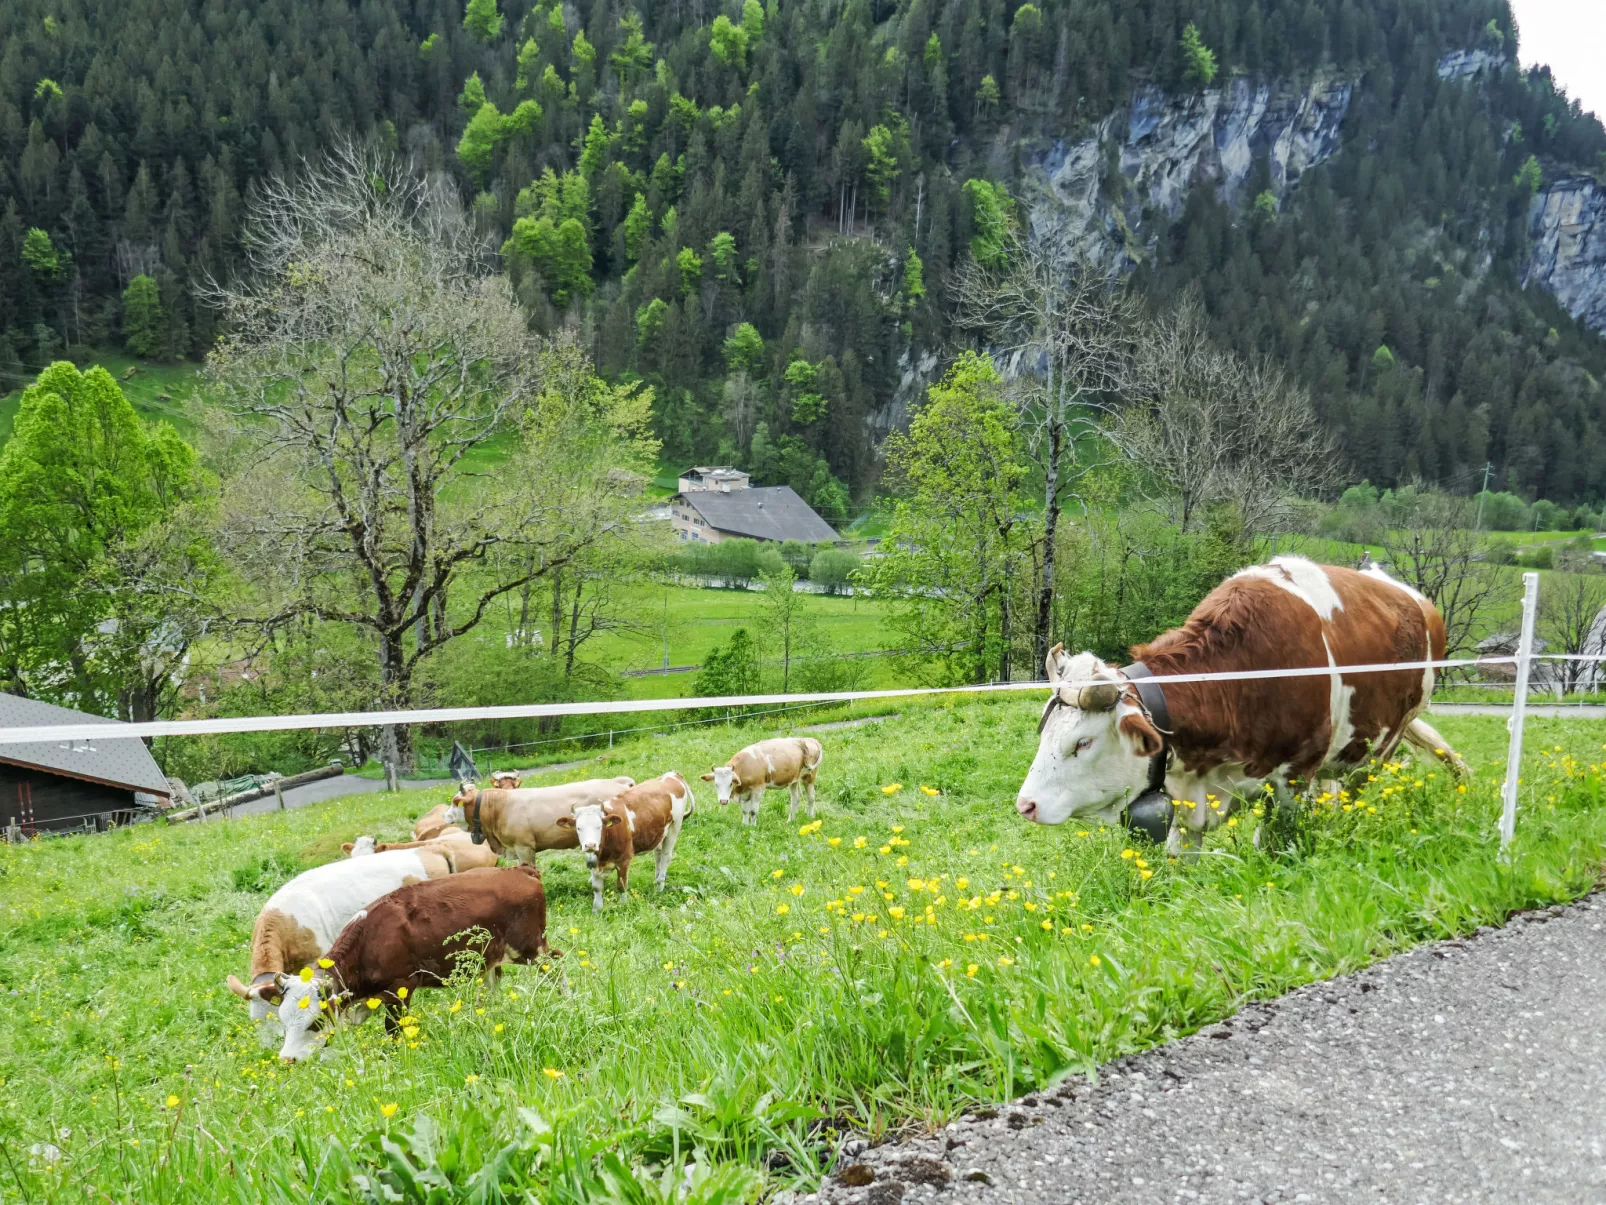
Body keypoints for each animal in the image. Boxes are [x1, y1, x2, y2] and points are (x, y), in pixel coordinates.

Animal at [273, 861, 555, 1060]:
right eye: (283, 1021)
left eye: (314, 1022)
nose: (288, 1059)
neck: (369, 940)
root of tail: (520, 870)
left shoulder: (400, 987)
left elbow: (393, 1029)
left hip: (530, 947)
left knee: (555, 964)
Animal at [555, 774, 693, 912]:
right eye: (579, 828)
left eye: (599, 826)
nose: (590, 845)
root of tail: (672, 774)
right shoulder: (594, 863)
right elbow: (597, 888)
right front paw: (596, 911)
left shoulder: (624, 860)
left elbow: (621, 886)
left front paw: (623, 906)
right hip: (659, 832)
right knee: (658, 854)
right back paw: (656, 880)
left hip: (674, 827)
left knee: (666, 856)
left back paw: (660, 887)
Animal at [1014, 559, 1471, 861]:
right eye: (1046, 733)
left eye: (1083, 742)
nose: (1026, 806)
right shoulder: (1188, 795)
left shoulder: (1292, 778)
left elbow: (1270, 845)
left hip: (1380, 747)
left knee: (1352, 797)